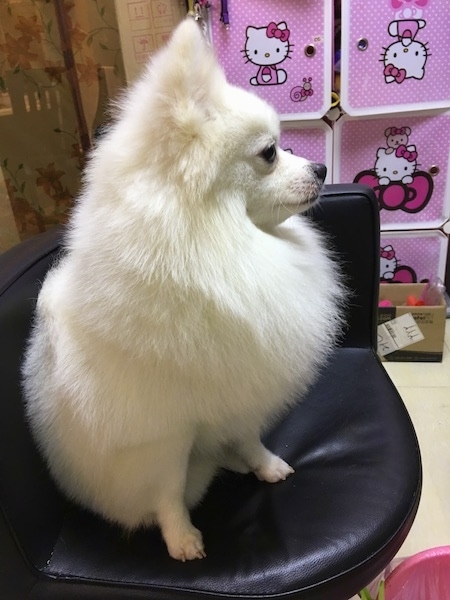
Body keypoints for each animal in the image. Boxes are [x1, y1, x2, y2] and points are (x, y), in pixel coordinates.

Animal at [21, 18, 344, 564]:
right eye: (270, 152)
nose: (320, 169)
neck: (216, 248)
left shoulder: (240, 389)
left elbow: (249, 437)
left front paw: (265, 464)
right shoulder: (161, 434)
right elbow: (168, 491)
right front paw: (181, 537)